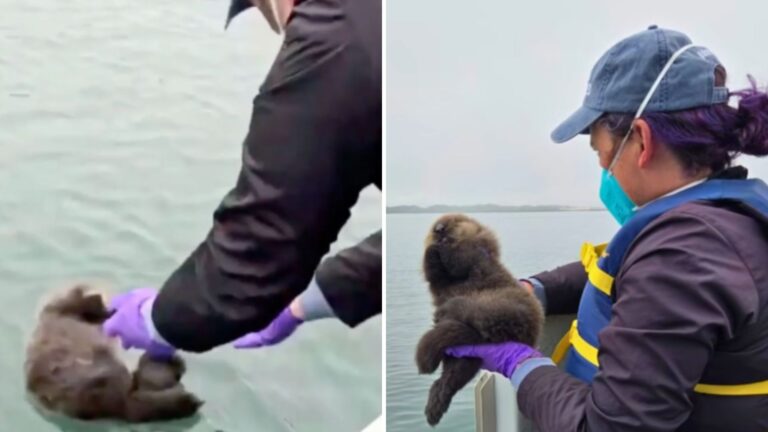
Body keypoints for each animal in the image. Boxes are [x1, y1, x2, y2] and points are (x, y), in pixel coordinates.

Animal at [415, 214, 544, 426]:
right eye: (435, 225)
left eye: (454, 221)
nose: (439, 229)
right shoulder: (440, 281)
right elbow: (432, 272)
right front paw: (432, 248)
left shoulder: (476, 254)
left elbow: (459, 260)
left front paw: (442, 246)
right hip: (465, 356)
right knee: (452, 375)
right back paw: (435, 405)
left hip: (501, 306)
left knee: (473, 312)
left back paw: (447, 310)